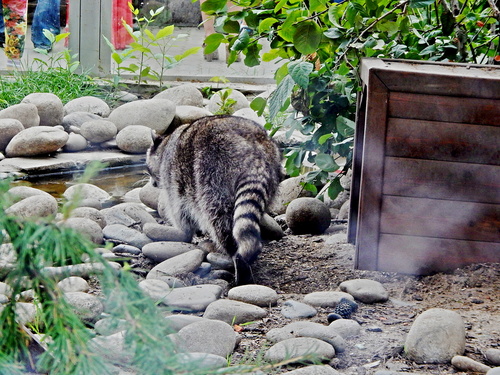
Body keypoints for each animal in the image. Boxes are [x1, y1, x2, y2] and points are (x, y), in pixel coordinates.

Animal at [146, 115, 284, 284]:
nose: (152, 183)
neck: (166, 143)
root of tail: (254, 149)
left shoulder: (172, 179)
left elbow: (178, 210)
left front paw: (183, 232)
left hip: (212, 171)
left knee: (219, 218)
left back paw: (234, 255)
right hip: (274, 171)